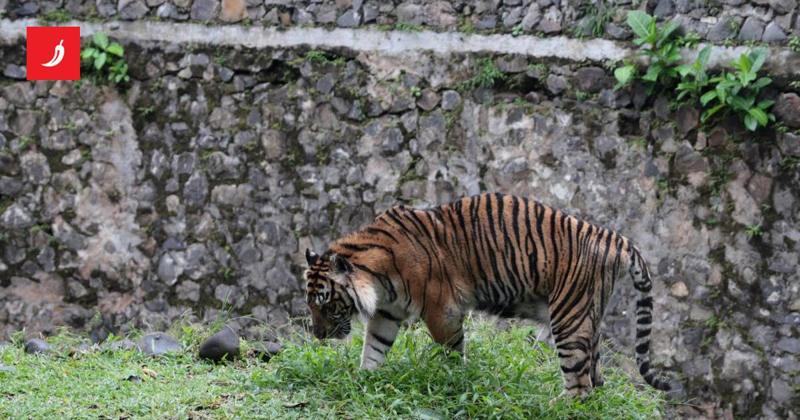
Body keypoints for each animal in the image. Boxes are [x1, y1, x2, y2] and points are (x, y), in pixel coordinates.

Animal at [303, 192, 671, 397]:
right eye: (311, 304)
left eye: (326, 303)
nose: (318, 335)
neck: (379, 277)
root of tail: (612, 237)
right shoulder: (387, 312)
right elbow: (374, 348)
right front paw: (364, 379)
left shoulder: (442, 310)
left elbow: (452, 353)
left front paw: (453, 381)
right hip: (588, 315)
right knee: (596, 379)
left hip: (569, 317)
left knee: (579, 383)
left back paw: (558, 406)